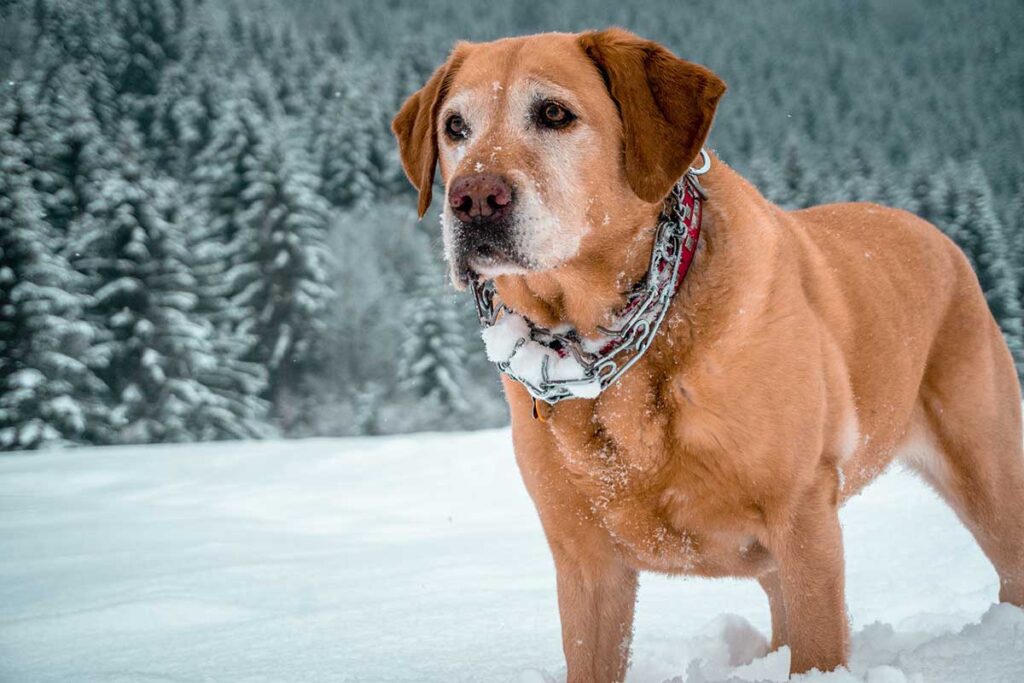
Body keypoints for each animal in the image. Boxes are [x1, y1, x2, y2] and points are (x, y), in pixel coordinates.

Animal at [391, 28, 1024, 683]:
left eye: (554, 114)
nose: (473, 199)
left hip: (986, 469)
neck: (609, 350)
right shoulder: (584, 559)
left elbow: (818, 649)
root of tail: (934, 233)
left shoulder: (804, 517)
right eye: (455, 127)